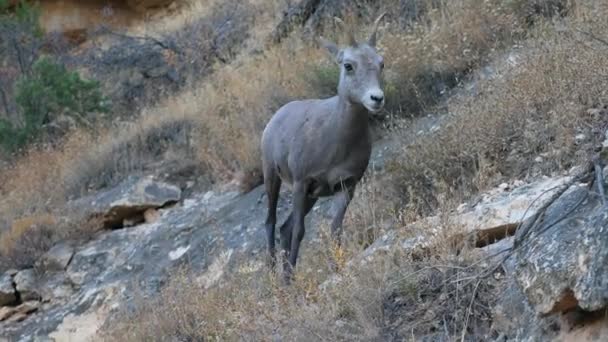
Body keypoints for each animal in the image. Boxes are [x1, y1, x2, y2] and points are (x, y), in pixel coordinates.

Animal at [260, 13, 384, 282]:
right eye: (348, 65)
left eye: (381, 63)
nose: (377, 99)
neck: (336, 143)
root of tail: (275, 117)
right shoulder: (301, 183)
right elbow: (299, 231)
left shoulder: (346, 186)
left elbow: (335, 228)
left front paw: (337, 267)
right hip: (272, 177)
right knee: (271, 222)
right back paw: (275, 277)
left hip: (311, 197)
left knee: (283, 228)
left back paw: (285, 276)